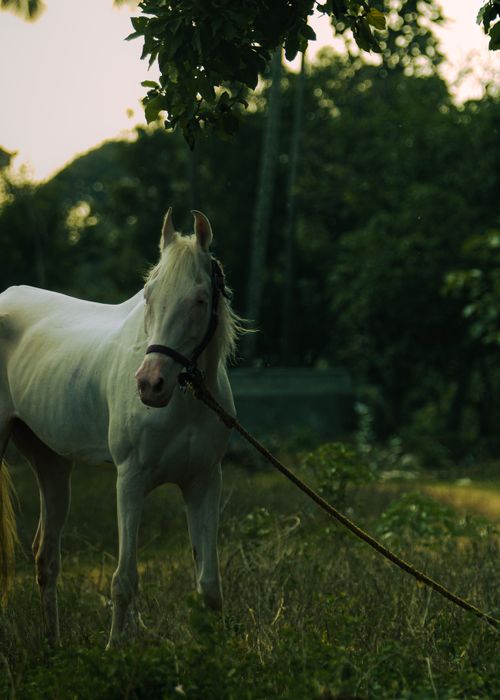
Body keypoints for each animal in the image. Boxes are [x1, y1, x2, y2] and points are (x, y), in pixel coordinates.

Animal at [0, 208, 241, 648]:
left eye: (200, 300)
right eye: (148, 296)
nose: (149, 384)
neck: (184, 402)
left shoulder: (203, 482)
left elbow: (209, 586)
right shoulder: (129, 480)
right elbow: (123, 581)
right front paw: (115, 650)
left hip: (51, 462)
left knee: (46, 556)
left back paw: (53, 645)